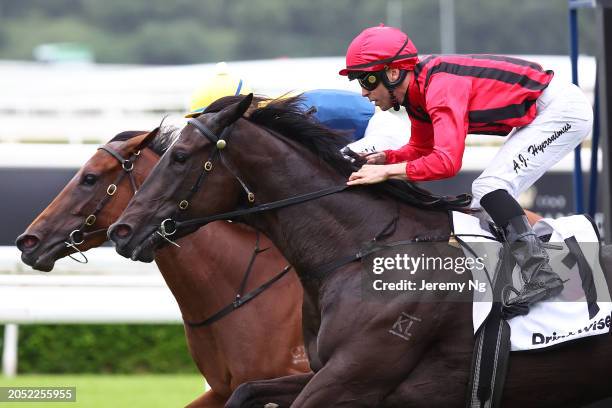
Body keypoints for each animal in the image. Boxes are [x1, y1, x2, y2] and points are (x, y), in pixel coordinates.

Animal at [110, 94, 612, 406]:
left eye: (180, 157)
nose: (122, 230)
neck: (363, 249)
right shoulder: (322, 373)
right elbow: (245, 391)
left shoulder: (351, 381)